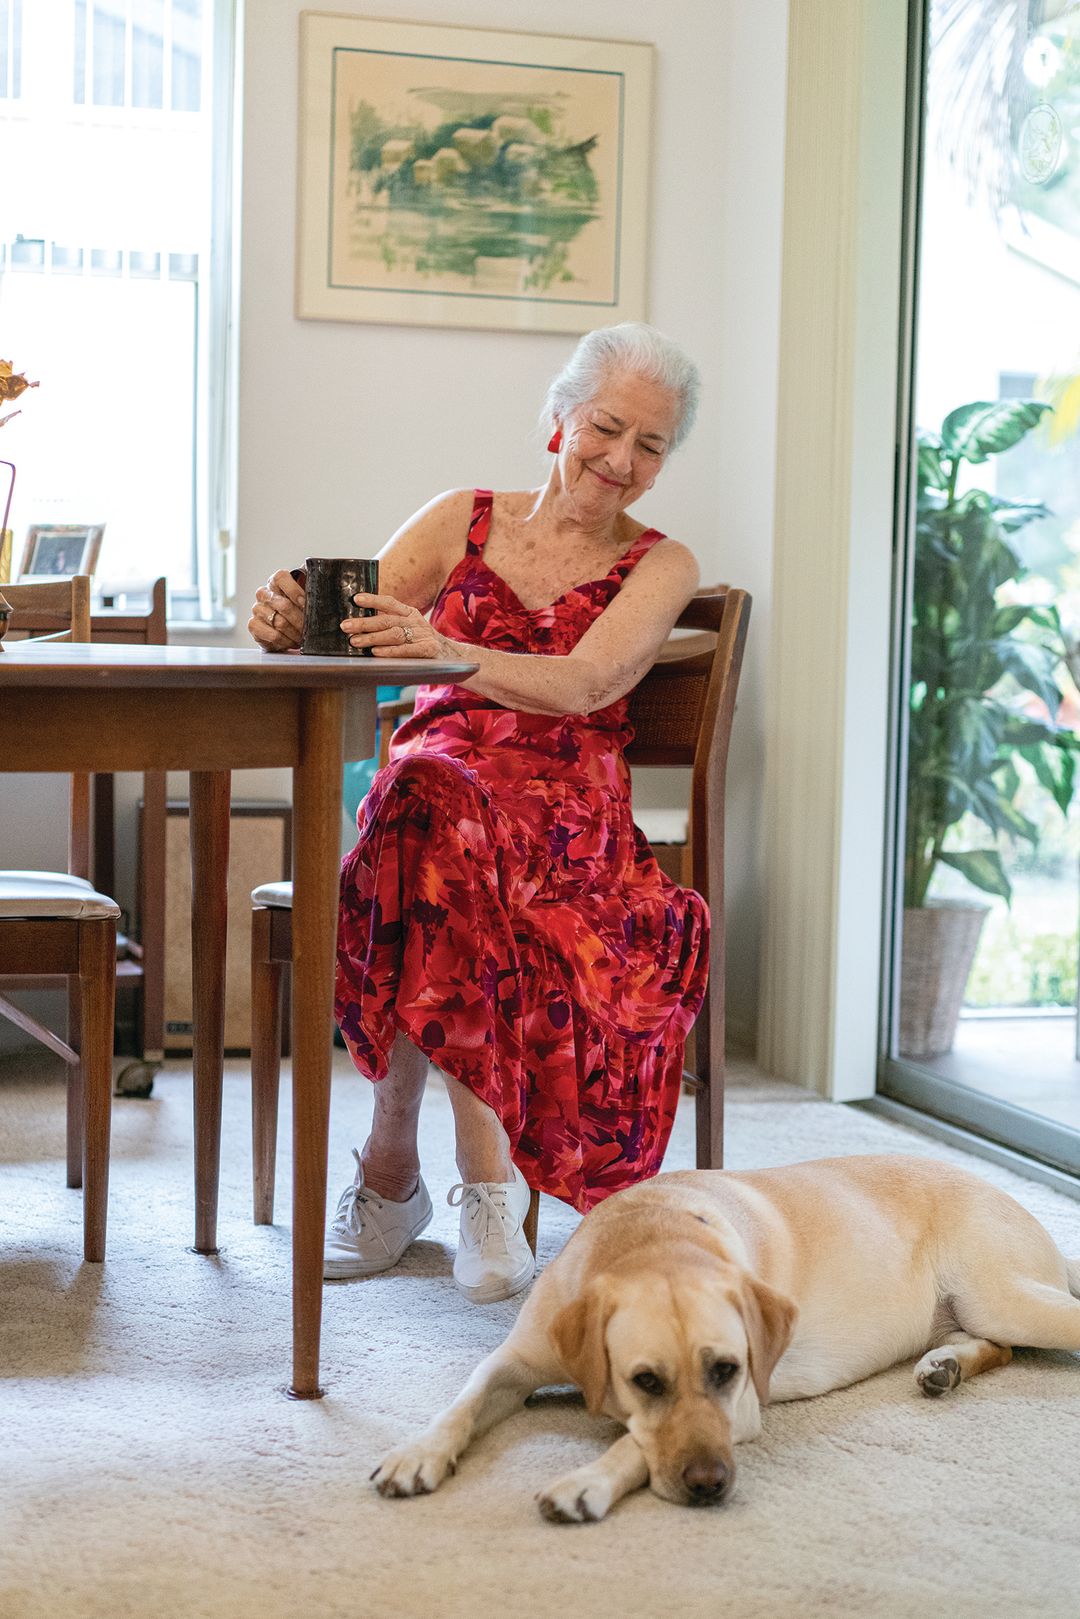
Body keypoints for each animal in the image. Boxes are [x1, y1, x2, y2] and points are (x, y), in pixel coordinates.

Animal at [374, 1152, 1080, 1515]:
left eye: (726, 1372)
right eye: (645, 1381)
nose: (711, 1484)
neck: (652, 1238)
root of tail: (1010, 1197)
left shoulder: (743, 1407)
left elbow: (633, 1445)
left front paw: (589, 1480)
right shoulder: (514, 1361)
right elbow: (462, 1403)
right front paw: (417, 1453)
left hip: (1002, 1296)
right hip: (987, 1309)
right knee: (999, 1347)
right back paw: (945, 1365)